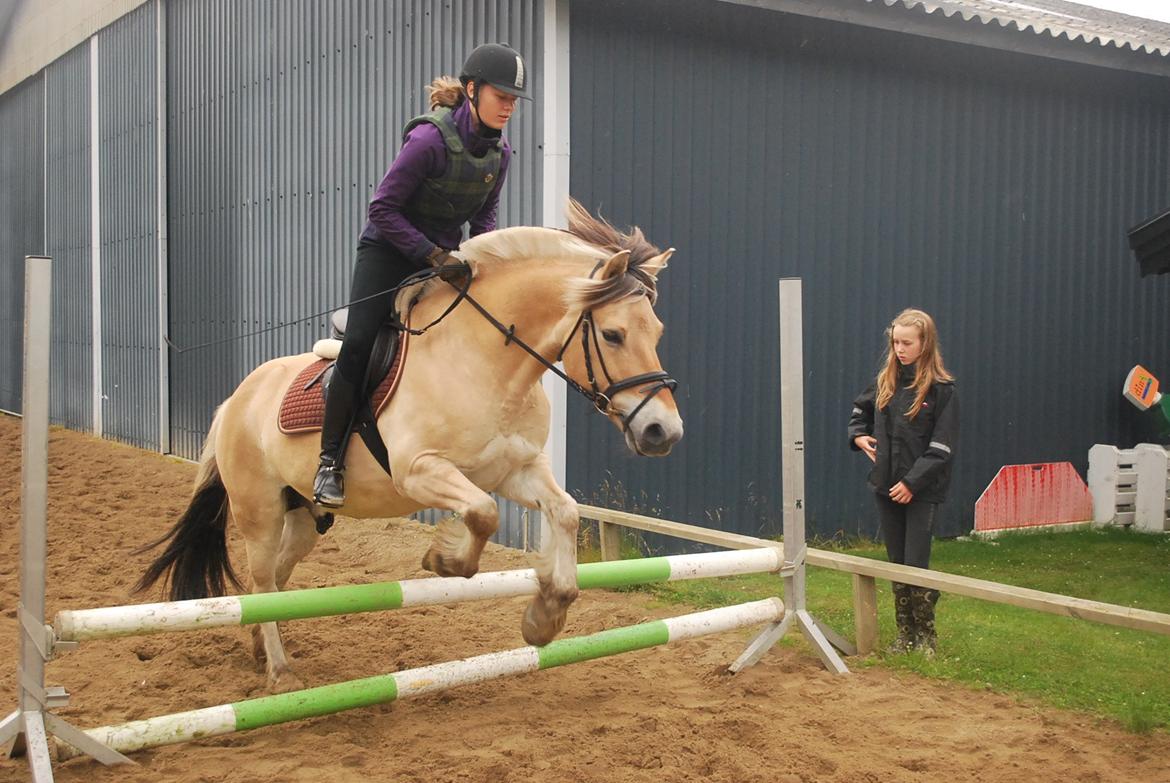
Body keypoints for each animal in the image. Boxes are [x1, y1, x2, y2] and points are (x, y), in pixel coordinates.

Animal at [135, 201, 684, 692]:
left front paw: (544, 617)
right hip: (259, 510)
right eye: (612, 335)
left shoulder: (515, 470)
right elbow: (482, 514)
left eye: (657, 331)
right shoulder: (421, 471)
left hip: (302, 516)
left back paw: (256, 647)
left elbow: (564, 512)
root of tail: (234, 400)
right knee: (264, 578)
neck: (484, 362)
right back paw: (281, 672)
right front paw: (443, 559)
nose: (663, 433)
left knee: (271, 580)